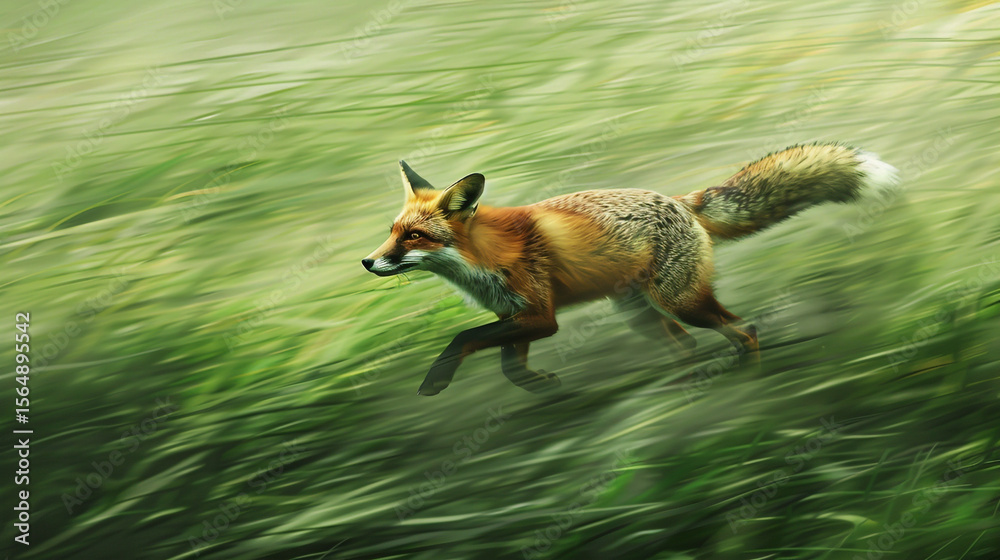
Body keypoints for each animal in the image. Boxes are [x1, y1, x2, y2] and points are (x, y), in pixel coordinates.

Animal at [363, 143, 899, 396]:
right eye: (392, 231)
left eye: (414, 237)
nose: (368, 262)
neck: (482, 261)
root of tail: (681, 200)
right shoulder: (514, 316)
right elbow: (509, 365)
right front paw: (540, 387)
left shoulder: (541, 316)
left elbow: (463, 338)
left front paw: (435, 381)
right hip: (640, 312)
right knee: (686, 345)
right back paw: (683, 387)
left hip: (681, 302)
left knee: (744, 330)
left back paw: (748, 380)